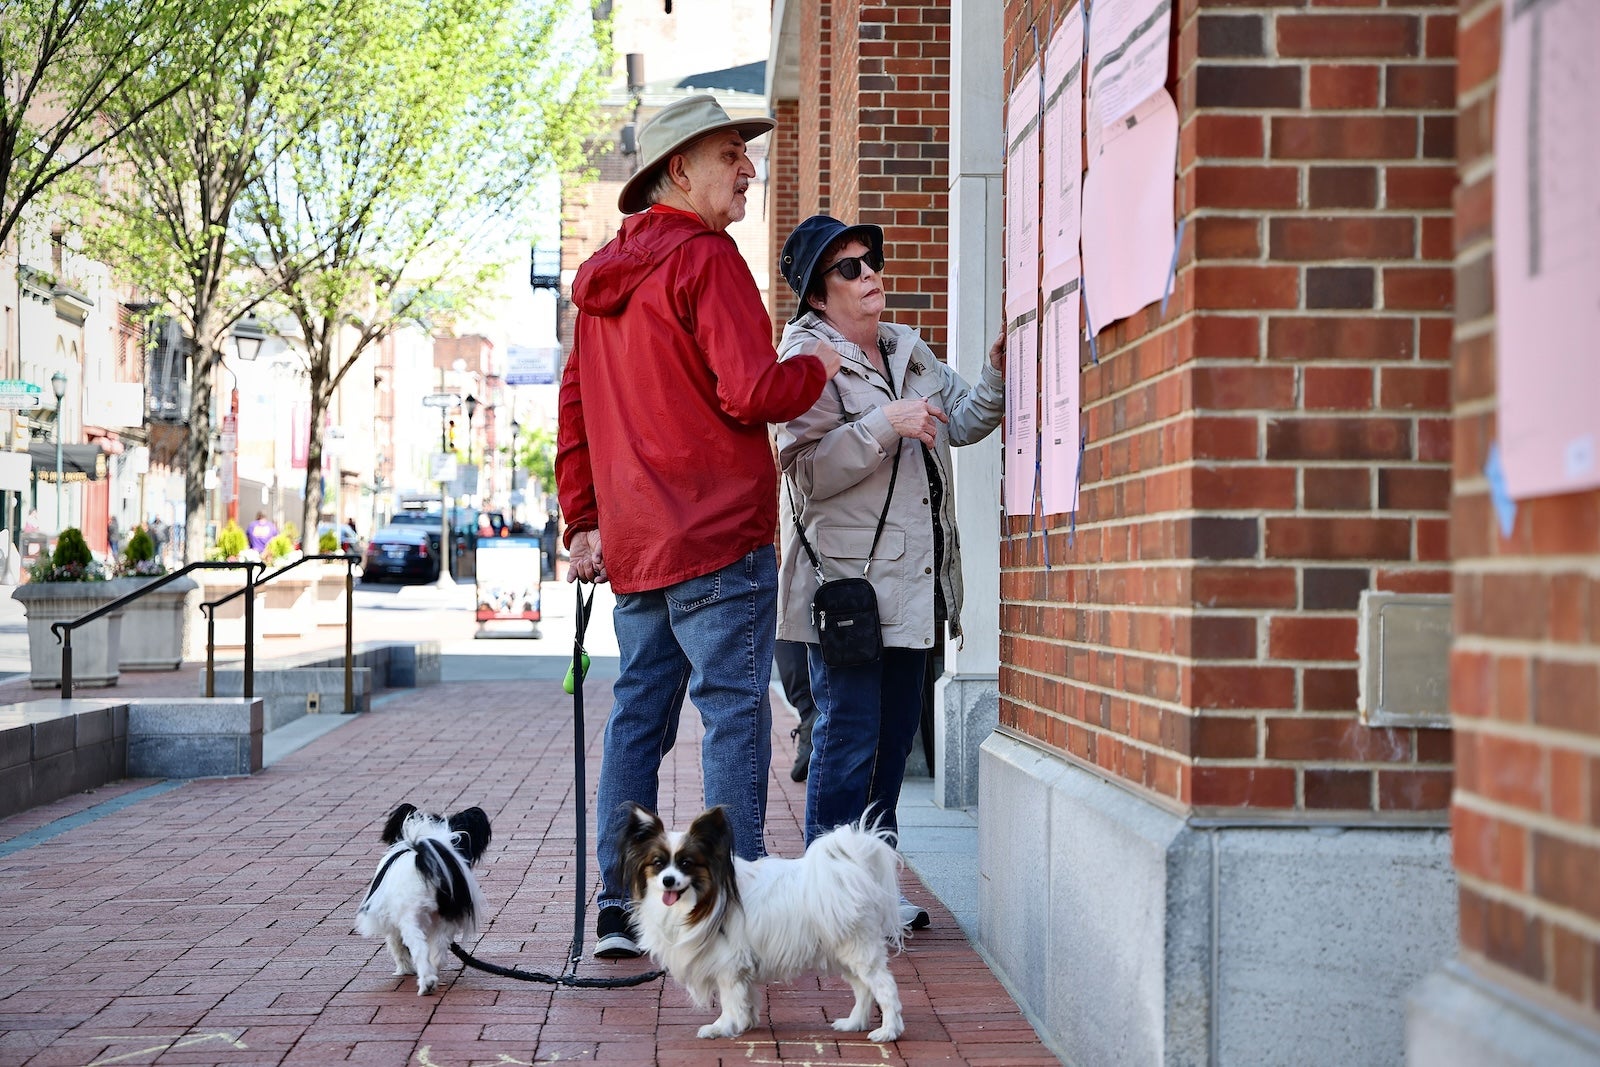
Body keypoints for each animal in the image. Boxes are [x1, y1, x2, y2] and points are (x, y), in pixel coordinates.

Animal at [353, 806, 489, 998]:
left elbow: (398, 948)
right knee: (437, 953)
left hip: (410, 919)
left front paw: (404, 969)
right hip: (443, 921)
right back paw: (433, 976)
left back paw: (426, 983)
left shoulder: (394, 924)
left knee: (419, 949)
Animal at [617, 799, 908, 1043]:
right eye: (657, 863)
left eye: (686, 863)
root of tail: (853, 870)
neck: (702, 901)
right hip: (843, 951)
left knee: (884, 987)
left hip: (858, 950)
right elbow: (745, 998)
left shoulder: (728, 966)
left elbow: (729, 1001)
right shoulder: (740, 967)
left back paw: (888, 1032)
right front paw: (745, 1022)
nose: (668, 880)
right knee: (863, 988)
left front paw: (722, 1027)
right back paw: (854, 1023)